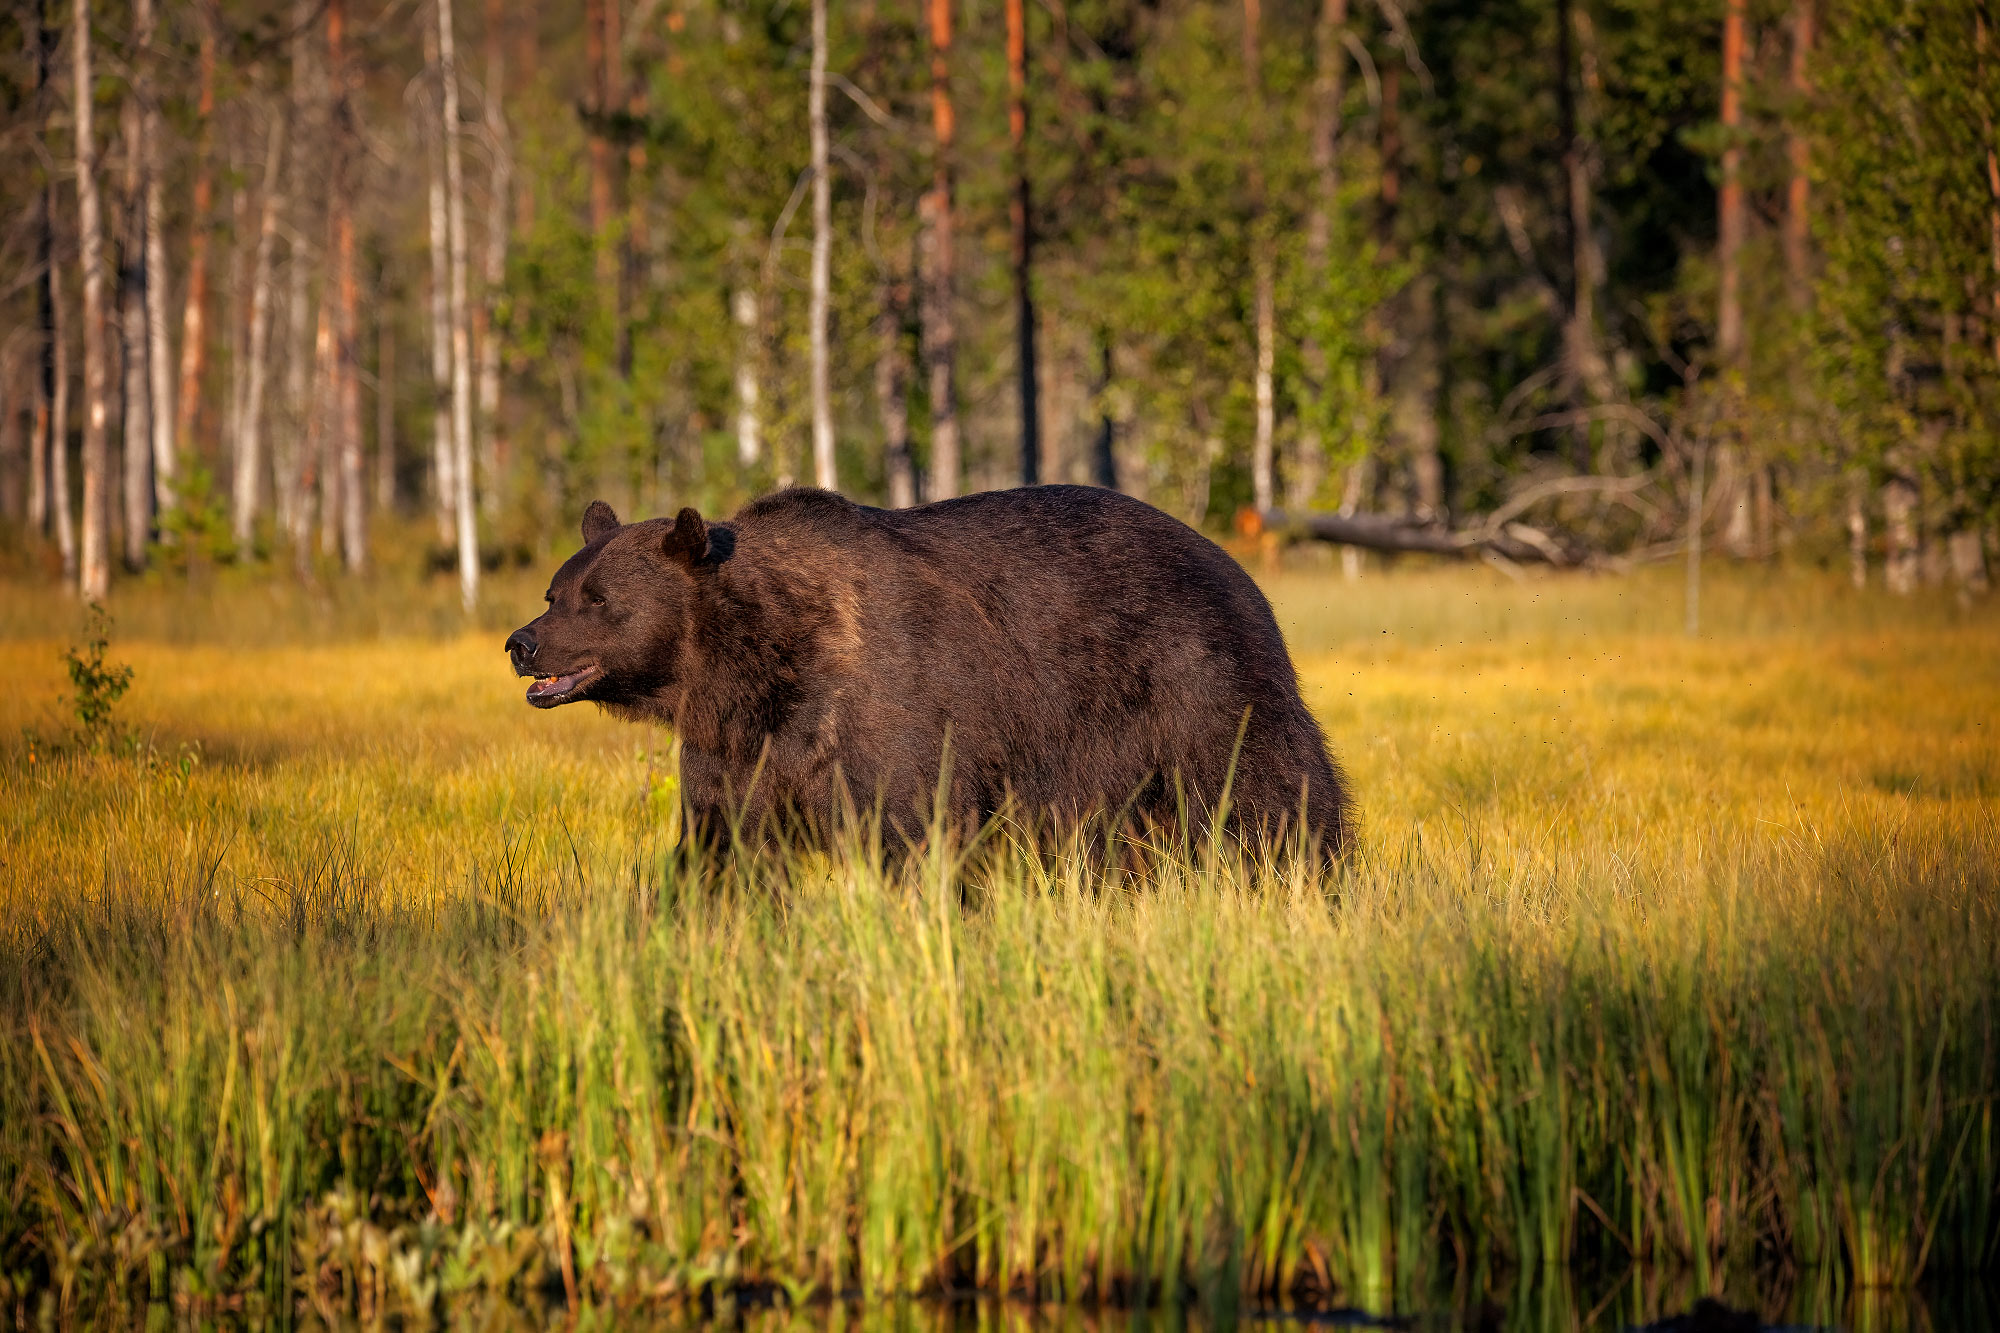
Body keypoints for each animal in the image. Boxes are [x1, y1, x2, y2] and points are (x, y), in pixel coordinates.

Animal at [500, 482, 1352, 856]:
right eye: (555, 590)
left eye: (597, 598)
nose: (522, 643)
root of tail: (1238, 564)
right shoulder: (739, 745)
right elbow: (723, 842)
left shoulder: (896, 709)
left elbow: (914, 822)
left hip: (1193, 680)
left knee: (1267, 787)